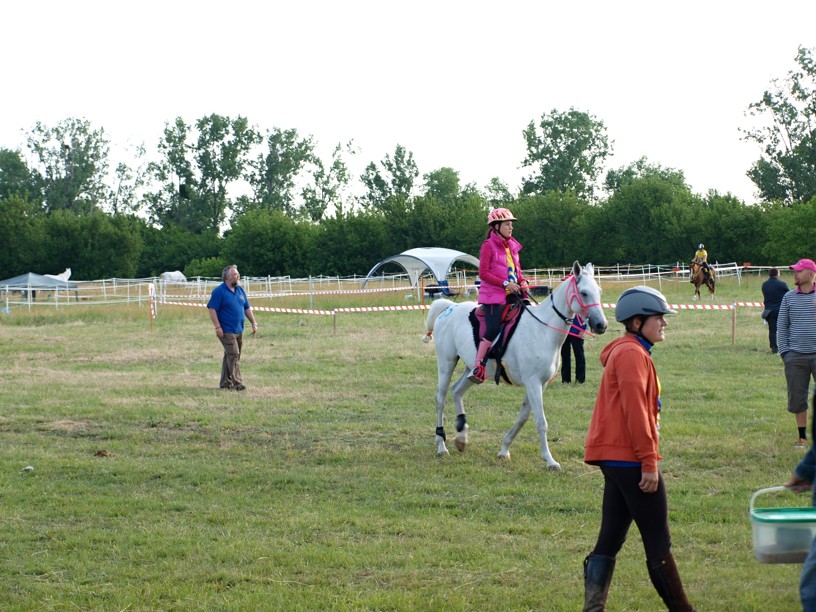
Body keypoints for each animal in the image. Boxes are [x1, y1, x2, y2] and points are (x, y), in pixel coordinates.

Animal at [424, 261, 608, 470]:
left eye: (599, 291)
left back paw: (462, 437)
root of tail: (450, 308)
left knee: (457, 391)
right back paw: (441, 445)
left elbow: (523, 417)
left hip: (473, 370)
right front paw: (549, 460)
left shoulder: (540, 384)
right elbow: (540, 421)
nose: (601, 325)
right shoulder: (533, 382)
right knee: (441, 398)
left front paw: (504, 449)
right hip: (446, 363)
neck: (542, 329)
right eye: (584, 293)